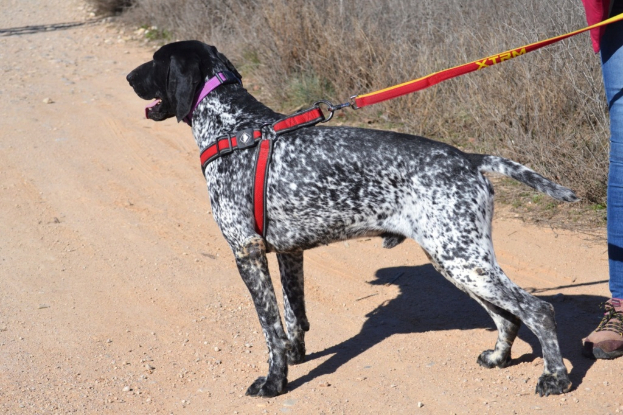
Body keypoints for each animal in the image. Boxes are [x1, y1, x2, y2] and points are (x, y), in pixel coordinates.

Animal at [127, 41, 576, 398]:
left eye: (155, 60)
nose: (129, 76)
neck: (233, 125)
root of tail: (469, 159)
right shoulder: (289, 253)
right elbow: (294, 317)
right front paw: (296, 356)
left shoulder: (247, 252)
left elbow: (270, 328)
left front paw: (274, 383)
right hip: (456, 260)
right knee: (508, 316)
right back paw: (499, 357)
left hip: (462, 260)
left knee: (537, 309)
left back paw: (555, 378)